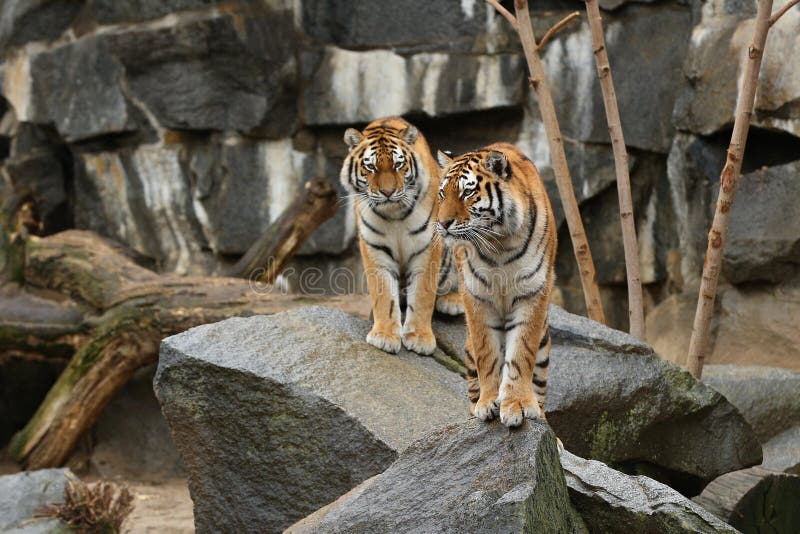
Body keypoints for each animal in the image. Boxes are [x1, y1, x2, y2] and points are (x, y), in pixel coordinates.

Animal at [340, 119, 462, 358]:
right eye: (371, 167)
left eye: (398, 165)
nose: (388, 192)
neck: (393, 213)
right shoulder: (375, 247)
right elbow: (383, 294)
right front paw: (385, 336)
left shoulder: (428, 246)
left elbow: (423, 294)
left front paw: (419, 338)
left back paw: (453, 301)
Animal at [434, 141, 552, 428]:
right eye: (442, 194)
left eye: (467, 192)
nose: (442, 224)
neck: (500, 244)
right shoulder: (477, 296)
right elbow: (487, 354)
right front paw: (488, 403)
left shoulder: (532, 294)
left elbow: (521, 354)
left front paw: (519, 403)